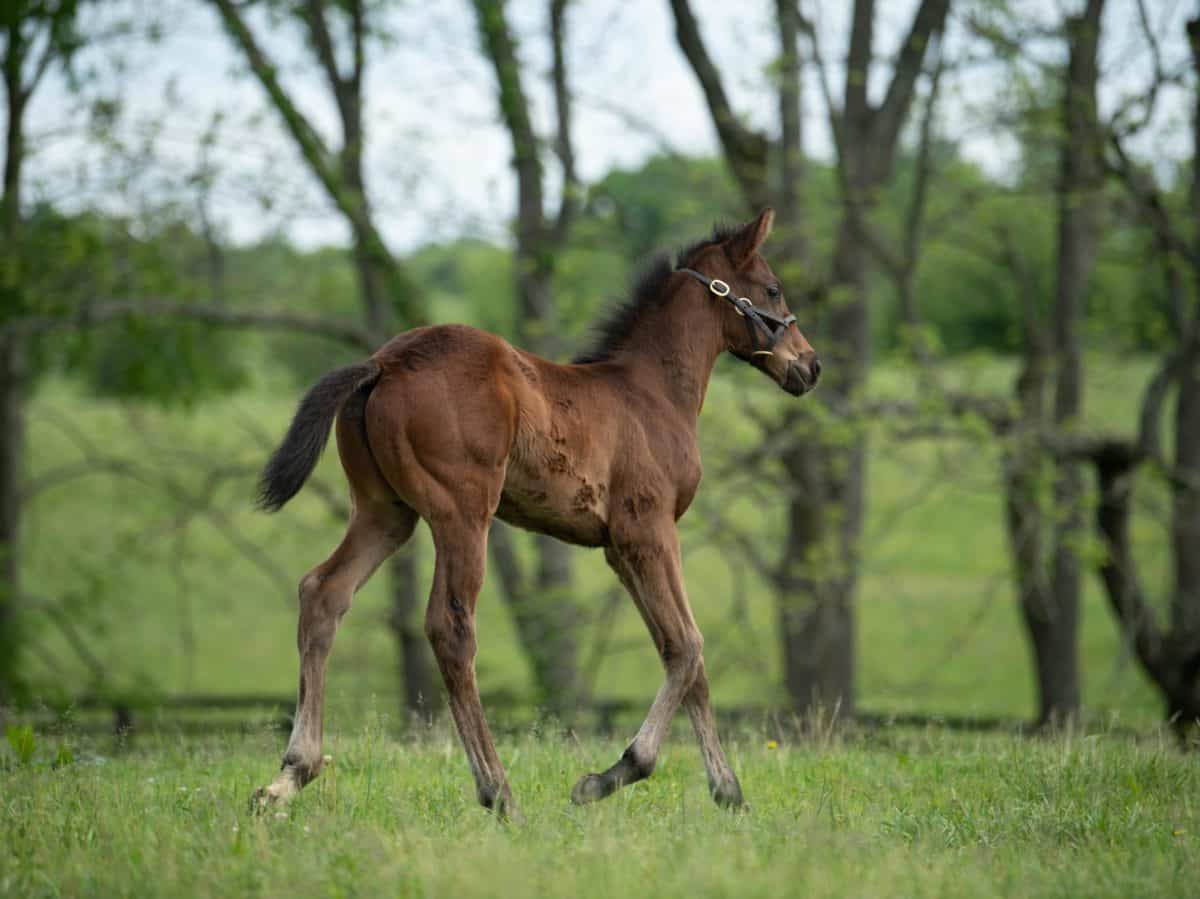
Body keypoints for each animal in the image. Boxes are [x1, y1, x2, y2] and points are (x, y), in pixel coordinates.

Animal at [252, 208, 816, 811]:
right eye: (773, 289)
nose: (811, 365)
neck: (651, 393)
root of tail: (383, 362)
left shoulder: (619, 549)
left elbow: (681, 653)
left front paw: (728, 791)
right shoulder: (648, 529)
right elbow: (689, 646)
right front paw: (613, 774)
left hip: (386, 512)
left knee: (323, 592)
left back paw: (289, 776)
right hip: (462, 513)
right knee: (450, 628)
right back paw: (498, 793)